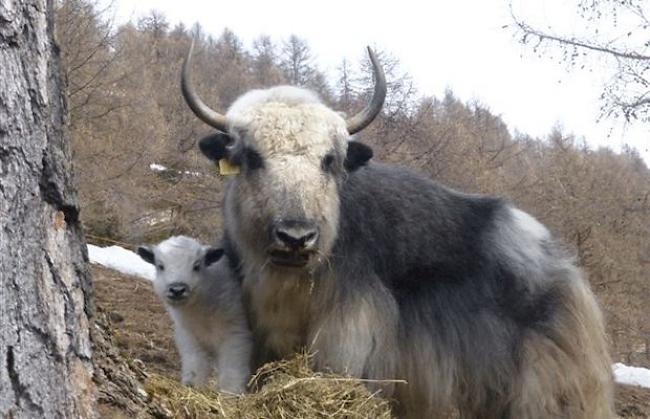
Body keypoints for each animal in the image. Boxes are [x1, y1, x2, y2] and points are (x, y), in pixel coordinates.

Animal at [137, 236, 251, 394]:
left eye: (197, 266)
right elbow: (194, 365)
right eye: (160, 266)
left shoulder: (236, 333)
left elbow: (232, 368)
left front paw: (230, 393)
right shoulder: (188, 336)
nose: (177, 289)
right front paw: (192, 387)